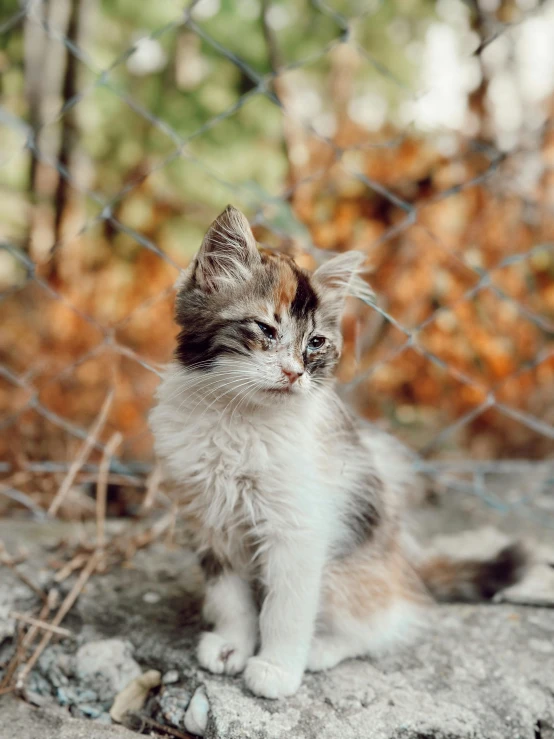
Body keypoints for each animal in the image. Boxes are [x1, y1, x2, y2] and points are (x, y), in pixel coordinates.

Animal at [149, 207, 524, 700]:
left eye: (315, 343)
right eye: (265, 330)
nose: (294, 373)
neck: (239, 418)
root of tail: (406, 564)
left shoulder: (299, 531)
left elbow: (285, 609)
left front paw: (276, 669)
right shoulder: (212, 522)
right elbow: (231, 598)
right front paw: (232, 646)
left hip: (348, 568)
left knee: (389, 621)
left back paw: (321, 650)